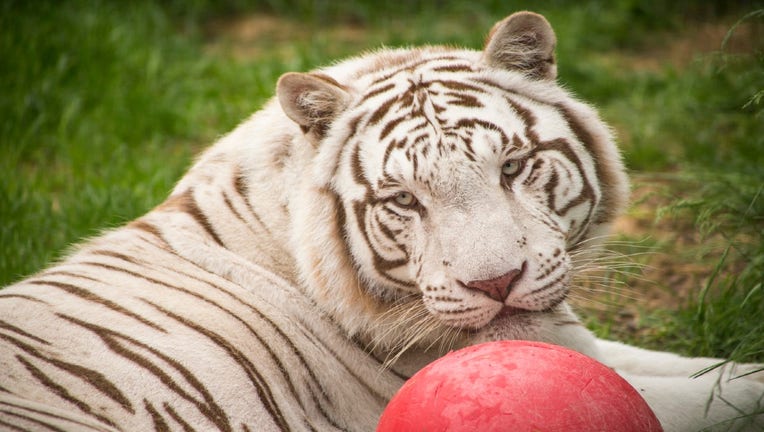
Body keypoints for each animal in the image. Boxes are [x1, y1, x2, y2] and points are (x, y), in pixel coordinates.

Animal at [1, 10, 762, 432]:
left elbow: (724, 371)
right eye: (404, 201)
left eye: (512, 167)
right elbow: (725, 397)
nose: (496, 284)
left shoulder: (582, 343)